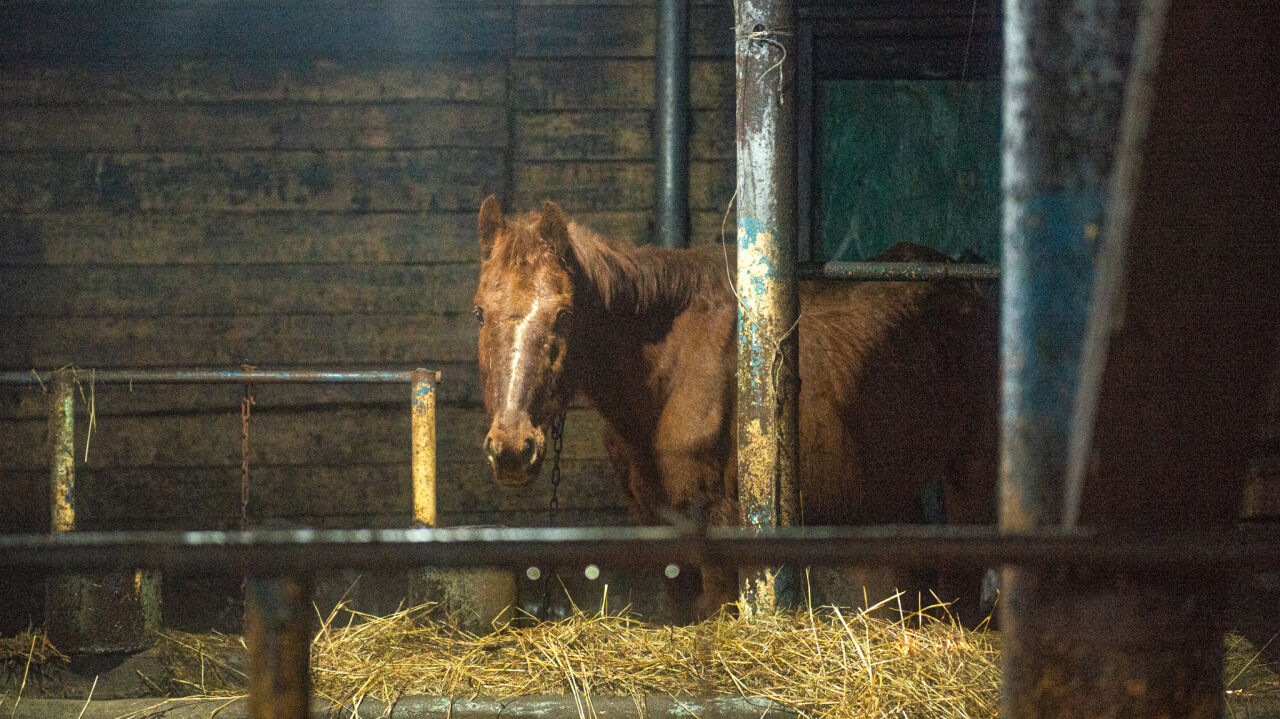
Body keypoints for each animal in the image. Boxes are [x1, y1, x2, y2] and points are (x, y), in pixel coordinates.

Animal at [471, 195, 998, 621]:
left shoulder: (720, 520)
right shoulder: (659, 525)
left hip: (971, 469)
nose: (513, 447)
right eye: (479, 312)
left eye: (564, 313)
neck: (671, 370)